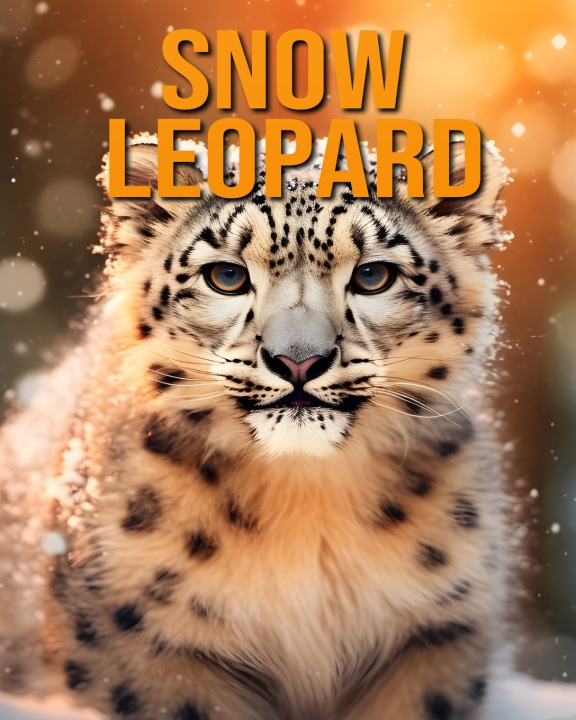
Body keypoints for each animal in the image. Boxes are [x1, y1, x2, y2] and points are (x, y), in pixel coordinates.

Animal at [0, 135, 511, 720]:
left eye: (372, 276)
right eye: (226, 276)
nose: (298, 360)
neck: (307, 505)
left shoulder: (438, 630)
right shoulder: (143, 645)